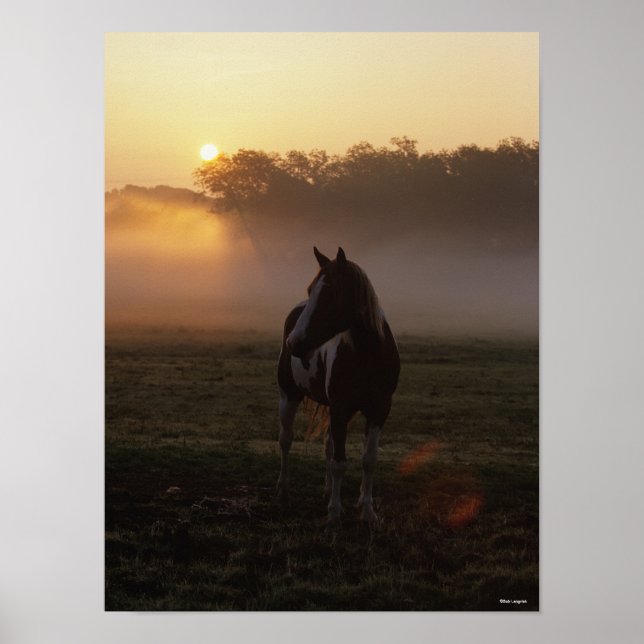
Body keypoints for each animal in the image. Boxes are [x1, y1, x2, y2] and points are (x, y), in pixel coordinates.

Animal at [276, 247, 400, 525]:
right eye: (310, 289)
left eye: (330, 292)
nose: (294, 342)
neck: (367, 354)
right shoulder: (341, 408)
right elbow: (340, 463)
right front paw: (334, 513)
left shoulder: (379, 410)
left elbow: (368, 460)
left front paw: (367, 509)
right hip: (289, 395)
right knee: (286, 440)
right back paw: (284, 491)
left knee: (329, 446)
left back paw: (326, 491)